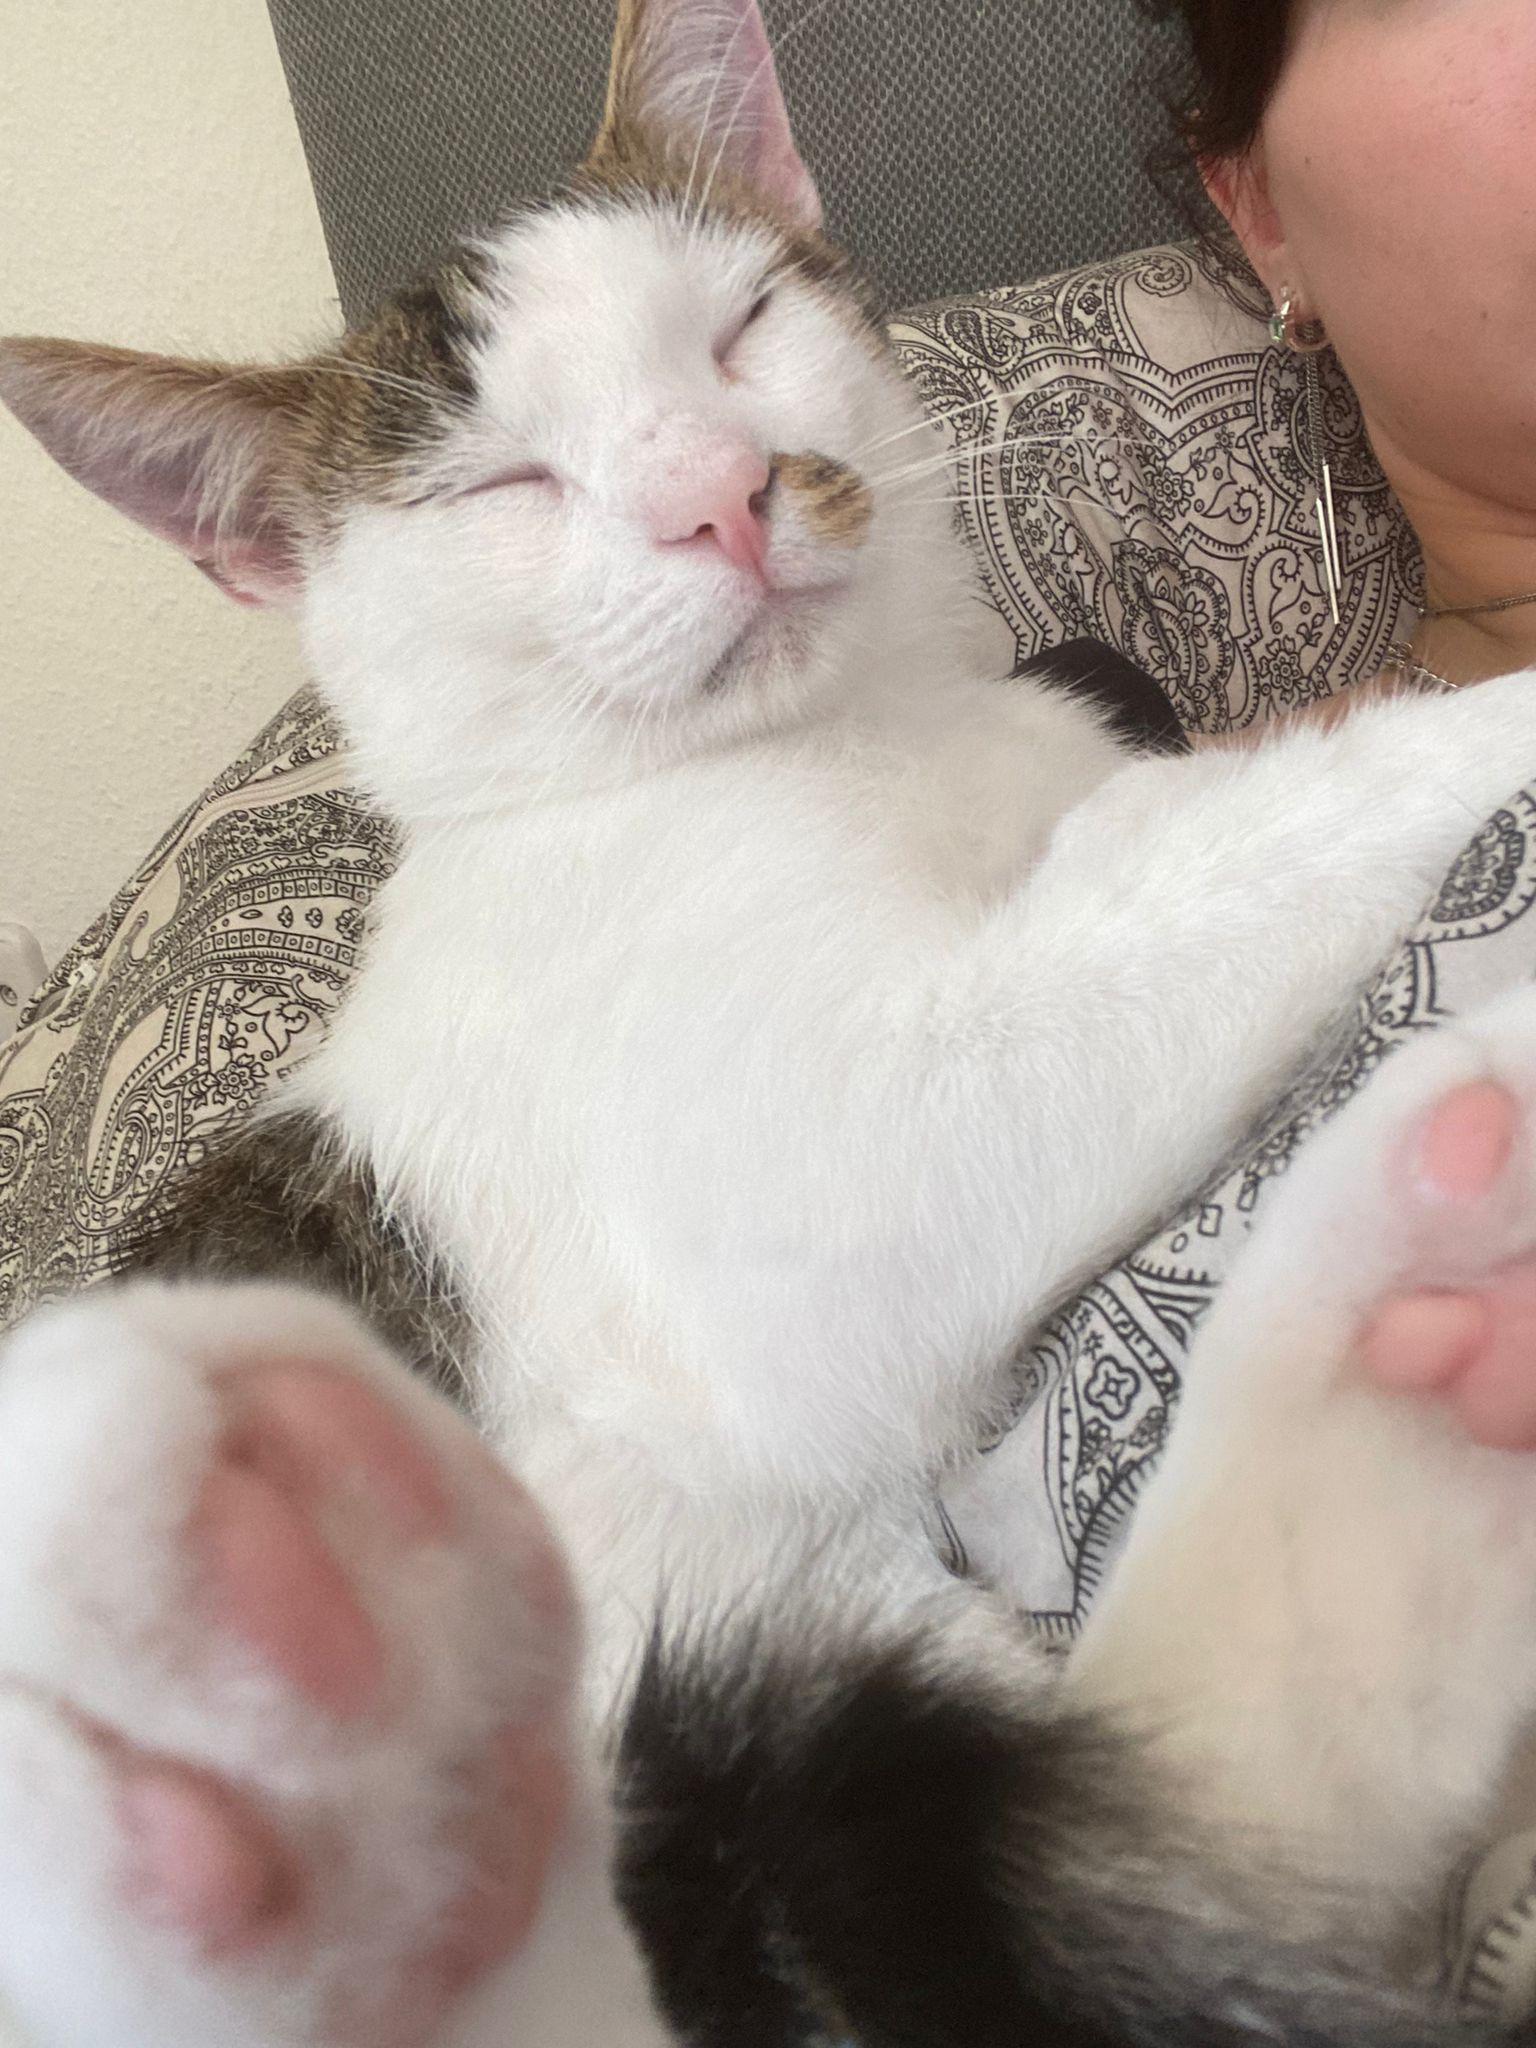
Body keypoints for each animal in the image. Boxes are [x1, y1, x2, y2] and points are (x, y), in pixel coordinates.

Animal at [6, 0, 1536, 2041]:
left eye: (734, 325)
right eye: (499, 486)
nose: (717, 498)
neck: (870, 736)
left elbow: (1149, 828)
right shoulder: (824, 1189)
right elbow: (1226, 869)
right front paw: (1488, 731)